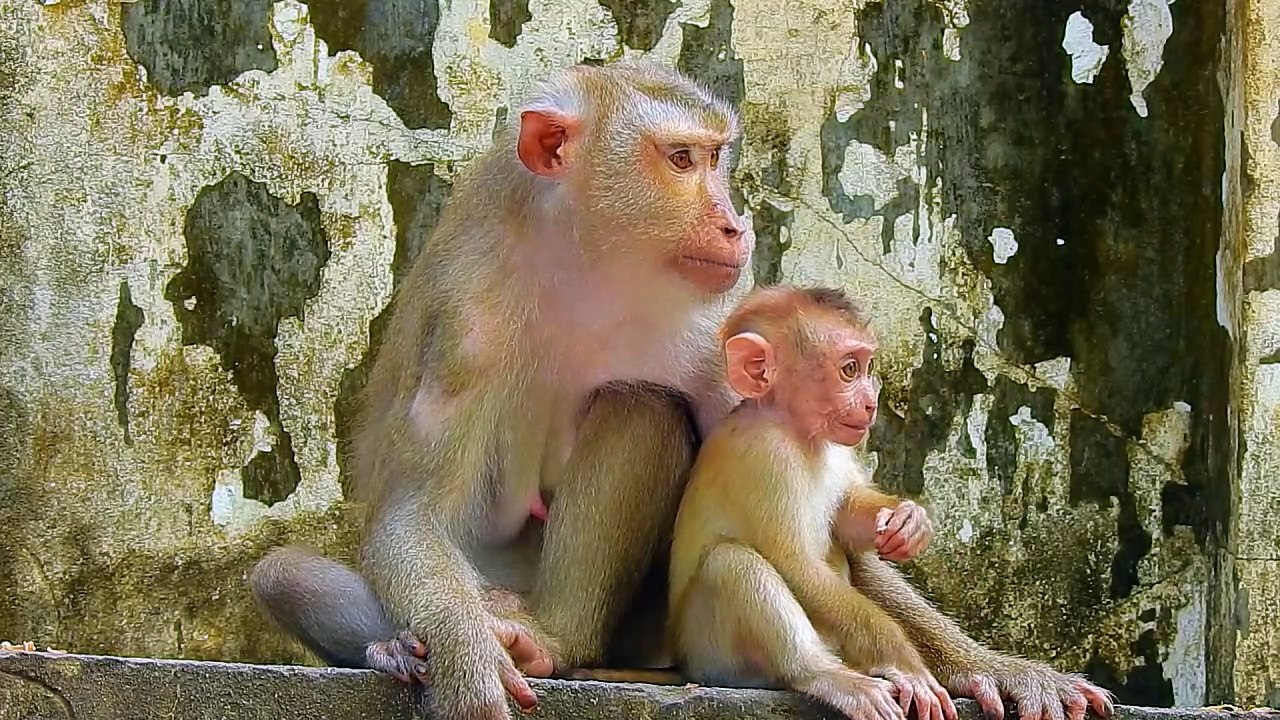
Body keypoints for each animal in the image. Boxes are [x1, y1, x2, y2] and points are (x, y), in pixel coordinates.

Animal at [249, 62, 751, 720]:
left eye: (715, 157)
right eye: (682, 159)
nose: (734, 225)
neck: (582, 271)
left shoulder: (716, 329)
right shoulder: (467, 329)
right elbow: (411, 518)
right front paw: (466, 659)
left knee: (640, 404)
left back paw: (553, 640)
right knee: (282, 573)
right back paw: (401, 648)